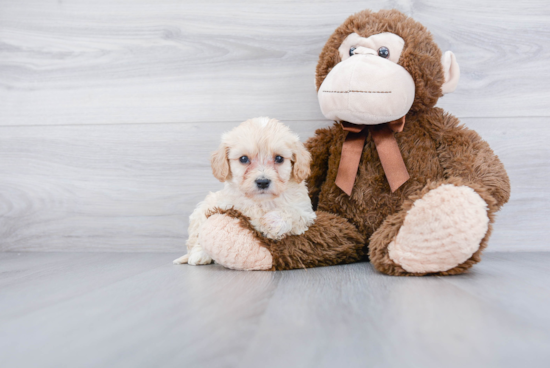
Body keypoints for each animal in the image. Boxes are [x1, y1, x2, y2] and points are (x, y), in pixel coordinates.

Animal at [175, 117, 316, 264]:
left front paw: (271, 222)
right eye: (243, 159)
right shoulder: (225, 204)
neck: (262, 201)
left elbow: (294, 213)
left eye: (279, 158)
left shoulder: (306, 212)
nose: (263, 182)